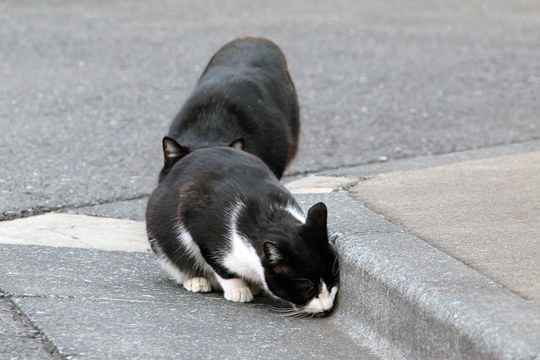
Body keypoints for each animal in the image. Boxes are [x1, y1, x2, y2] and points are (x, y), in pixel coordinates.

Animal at [146, 141, 340, 316]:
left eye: (333, 281)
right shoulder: (198, 224)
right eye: (308, 290)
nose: (327, 308)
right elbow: (218, 264)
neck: (271, 216)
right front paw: (237, 289)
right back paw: (197, 280)